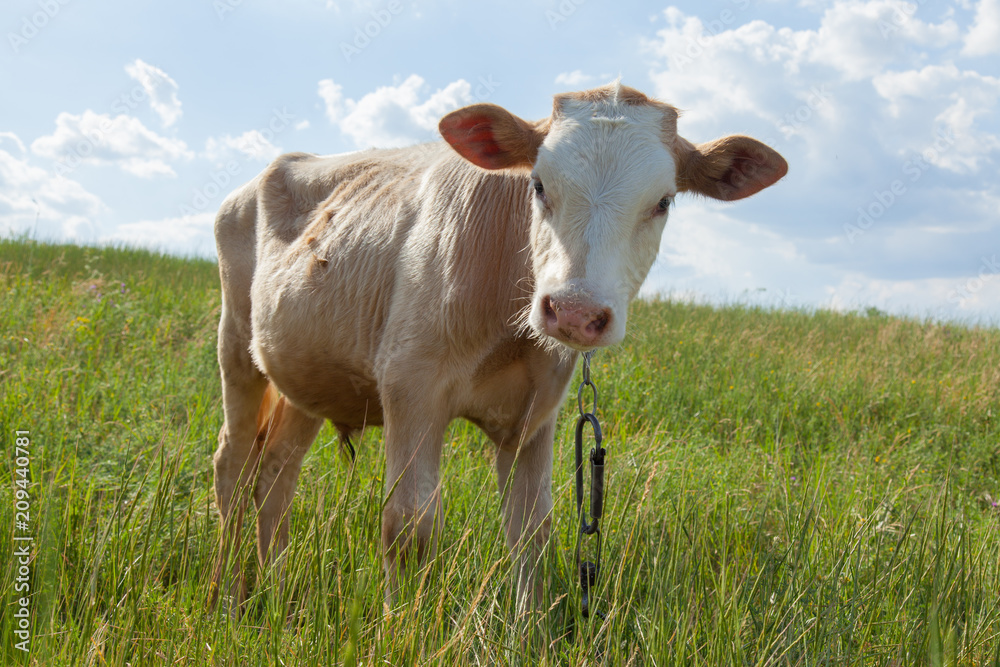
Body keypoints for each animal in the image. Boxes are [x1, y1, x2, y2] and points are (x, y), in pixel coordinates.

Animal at [211, 81, 788, 612]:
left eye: (663, 202)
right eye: (538, 185)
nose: (574, 312)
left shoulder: (536, 413)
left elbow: (531, 532)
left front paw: (525, 636)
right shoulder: (410, 384)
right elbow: (409, 525)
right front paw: (400, 633)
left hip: (305, 374)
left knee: (276, 475)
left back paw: (278, 592)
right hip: (236, 345)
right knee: (232, 467)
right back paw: (229, 597)